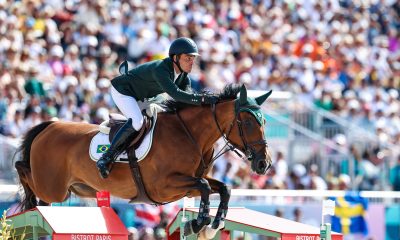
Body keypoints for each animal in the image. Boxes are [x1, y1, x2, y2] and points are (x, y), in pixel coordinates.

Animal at [14, 85, 272, 238]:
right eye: (247, 123)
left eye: (264, 122)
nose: (264, 164)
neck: (190, 134)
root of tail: (50, 126)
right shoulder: (164, 186)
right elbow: (206, 187)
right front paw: (199, 223)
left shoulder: (188, 183)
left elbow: (222, 188)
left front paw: (214, 223)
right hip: (53, 187)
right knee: (22, 171)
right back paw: (30, 204)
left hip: (74, 188)